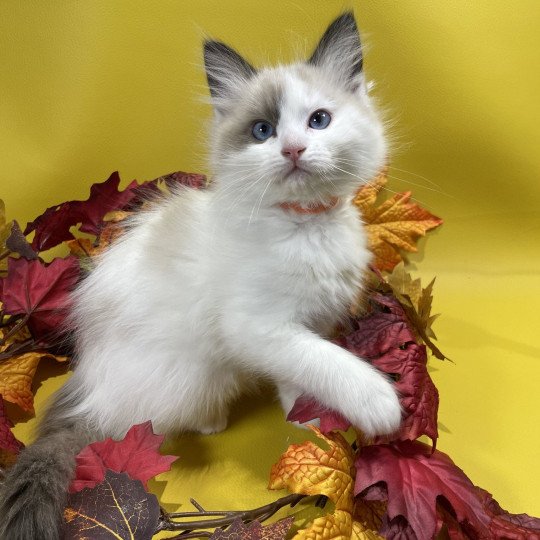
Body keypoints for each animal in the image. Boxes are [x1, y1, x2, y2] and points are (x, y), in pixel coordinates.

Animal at [0, 12, 396, 540]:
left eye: (319, 121)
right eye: (262, 131)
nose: (293, 150)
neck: (305, 225)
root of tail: (89, 378)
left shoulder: (307, 323)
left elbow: (298, 373)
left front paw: (305, 422)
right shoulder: (259, 328)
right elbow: (325, 361)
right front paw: (378, 401)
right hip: (190, 373)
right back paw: (211, 421)